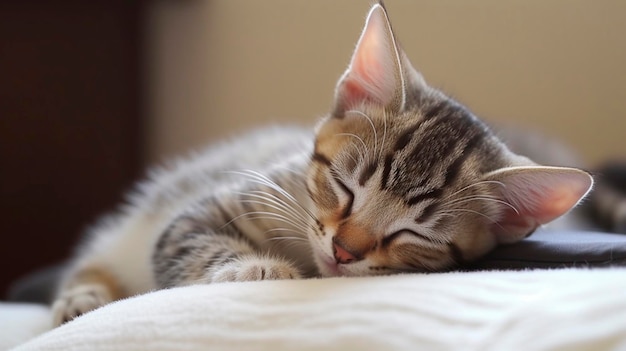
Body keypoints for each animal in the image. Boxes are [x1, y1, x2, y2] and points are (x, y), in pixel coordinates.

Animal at [50, 2, 588, 328]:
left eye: (414, 234)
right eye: (345, 186)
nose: (344, 252)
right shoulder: (208, 205)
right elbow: (190, 238)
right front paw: (257, 269)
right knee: (92, 257)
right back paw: (82, 296)